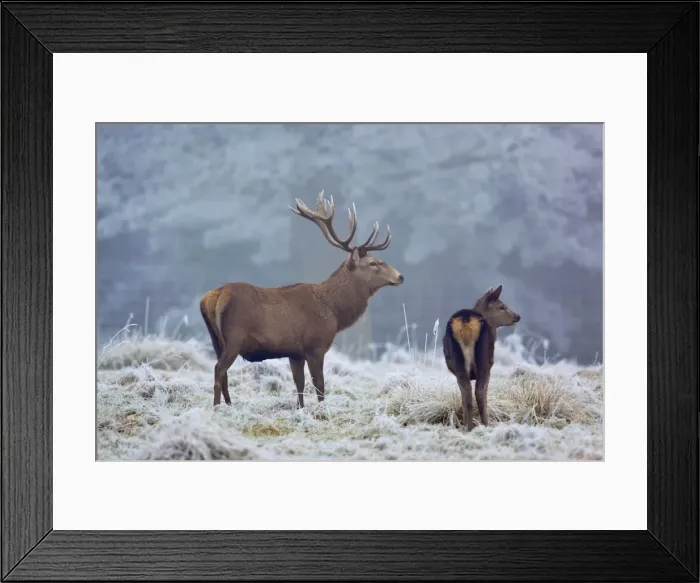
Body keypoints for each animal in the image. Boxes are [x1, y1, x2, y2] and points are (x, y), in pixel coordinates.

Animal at [200, 190, 404, 408]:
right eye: (374, 263)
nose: (400, 276)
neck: (334, 311)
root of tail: (215, 296)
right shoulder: (315, 346)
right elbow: (319, 384)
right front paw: (321, 409)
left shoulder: (294, 352)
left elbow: (299, 383)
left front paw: (301, 408)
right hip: (234, 337)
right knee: (219, 369)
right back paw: (217, 407)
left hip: (215, 339)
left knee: (223, 373)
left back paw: (229, 406)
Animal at [442, 284, 520, 432]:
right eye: (501, 306)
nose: (517, 316)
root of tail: (466, 321)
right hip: (484, 361)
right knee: (479, 392)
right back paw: (484, 425)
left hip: (458, 362)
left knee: (467, 392)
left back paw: (468, 427)